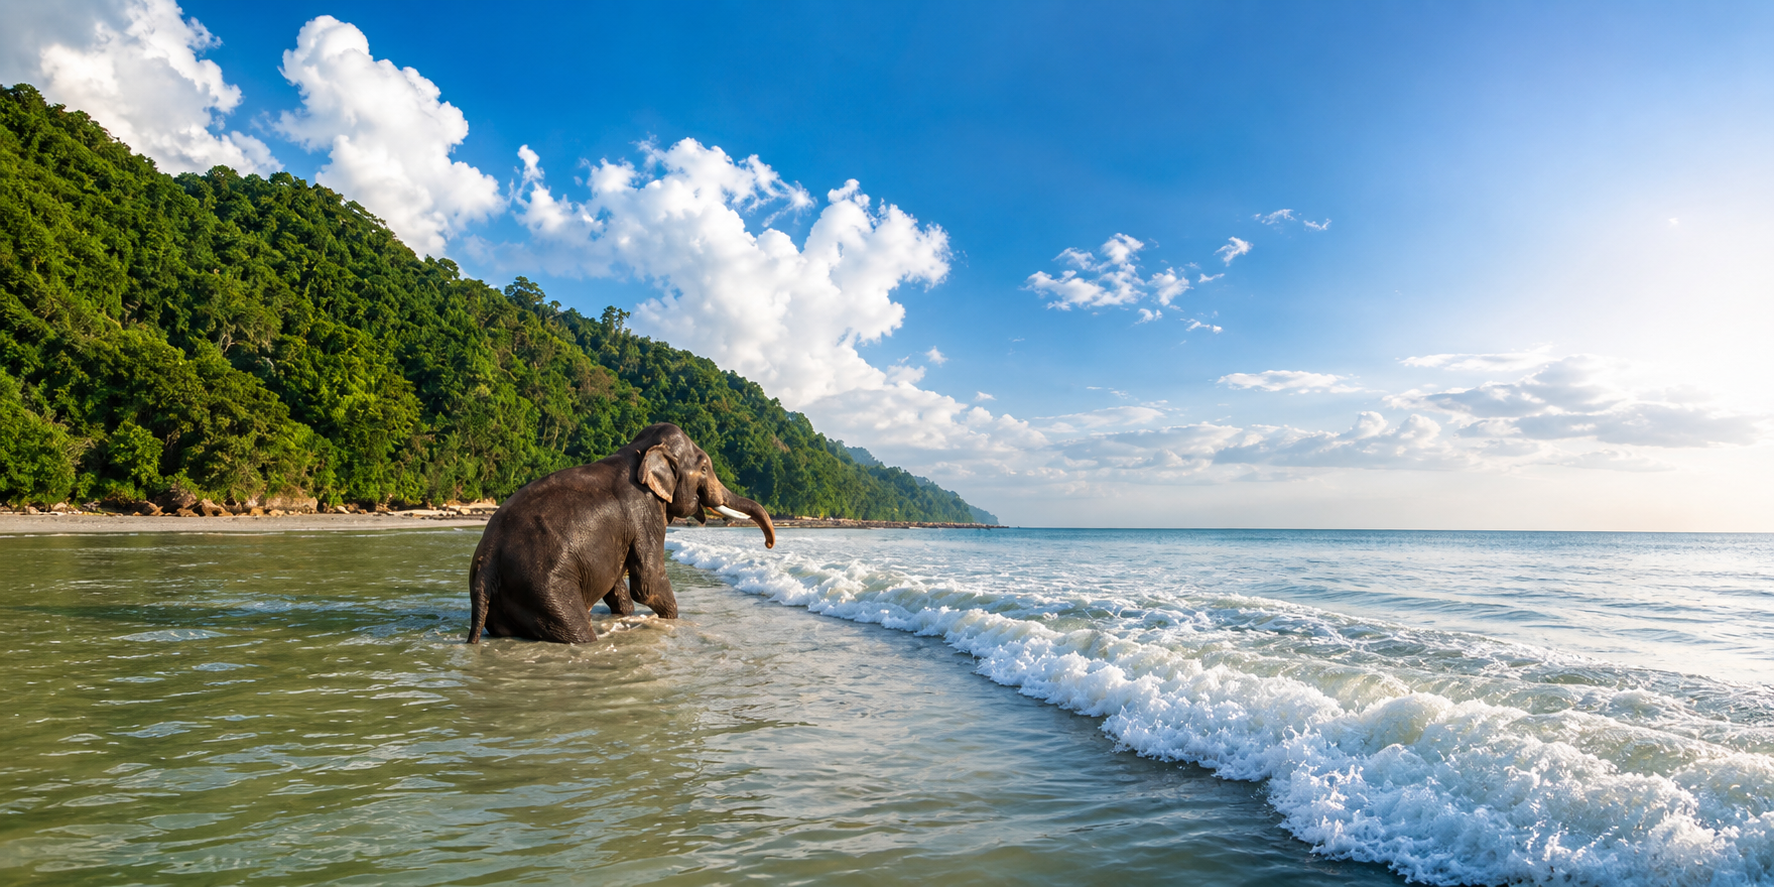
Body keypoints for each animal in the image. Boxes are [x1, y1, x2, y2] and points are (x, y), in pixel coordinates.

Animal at [467, 423, 776, 644]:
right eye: (703, 467)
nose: (769, 544)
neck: (639, 450)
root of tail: (487, 561)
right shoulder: (646, 512)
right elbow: (648, 583)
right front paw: (672, 621)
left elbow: (617, 581)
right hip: (545, 589)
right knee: (576, 628)